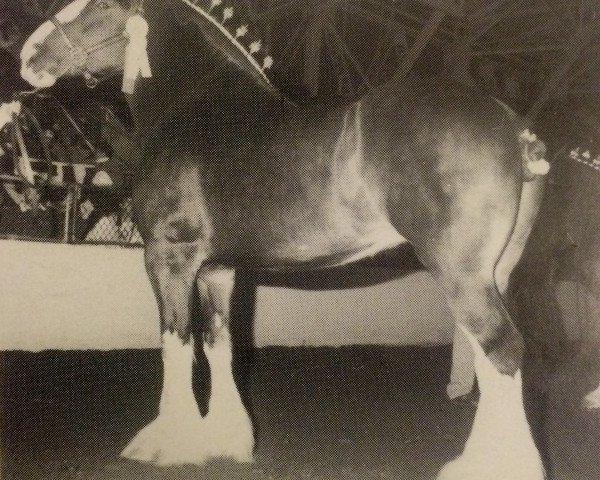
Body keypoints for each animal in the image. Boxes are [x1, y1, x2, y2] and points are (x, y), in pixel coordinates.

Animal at [19, 1, 552, 478]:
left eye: (101, 5)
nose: (29, 55)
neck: (196, 110)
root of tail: (516, 127)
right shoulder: (218, 269)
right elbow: (218, 344)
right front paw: (225, 441)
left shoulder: (169, 257)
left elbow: (176, 341)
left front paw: (165, 442)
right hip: (494, 273)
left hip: (461, 272)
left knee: (501, 349)